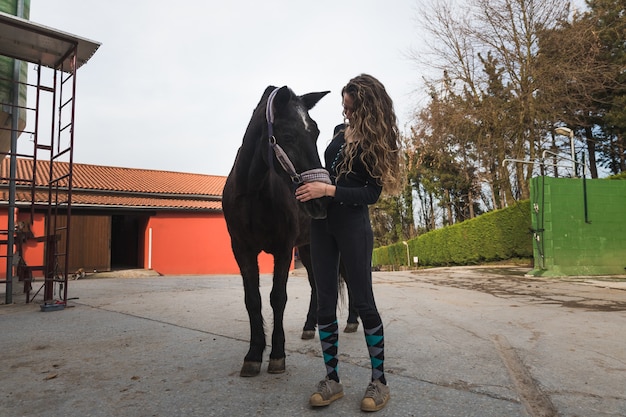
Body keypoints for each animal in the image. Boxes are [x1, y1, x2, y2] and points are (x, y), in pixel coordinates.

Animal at [224, 85, 332, 376]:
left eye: (316, 132)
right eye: (288, 135)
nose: (321, 200)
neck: (253, 194)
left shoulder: (283, 250)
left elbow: (277, 298)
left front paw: (277, 355)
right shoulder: (241, 250)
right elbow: (253, 299)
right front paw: (253, 355)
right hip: (306, 248)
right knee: (315, 284)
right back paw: (310, 327)